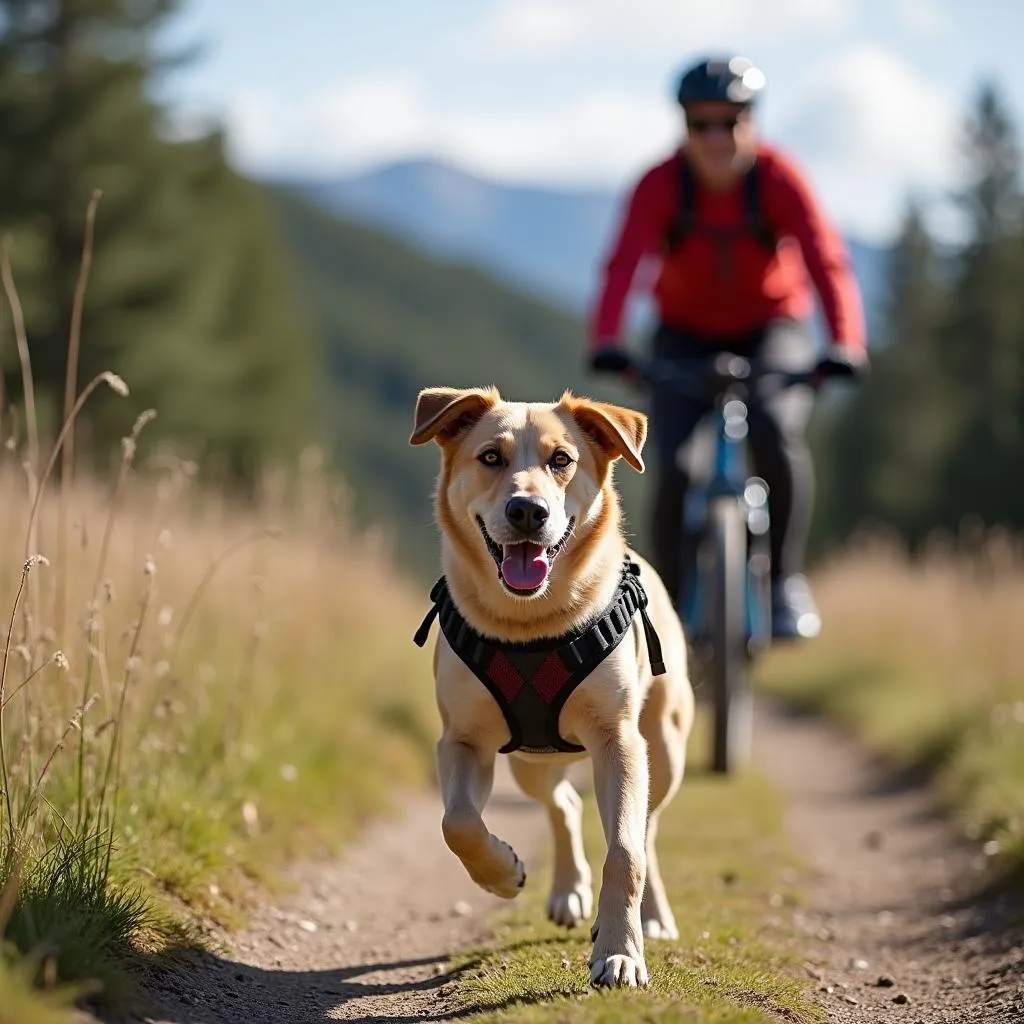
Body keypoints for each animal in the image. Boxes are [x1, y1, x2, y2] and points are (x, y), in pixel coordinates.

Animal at [409, 385, 696, 991]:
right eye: (490, 456)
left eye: (561, 459)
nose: (527, 510)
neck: (531, 625)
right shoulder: (462, 739)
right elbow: (457, 823)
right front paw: (503, 872)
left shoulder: (619, 741)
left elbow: (626, 852)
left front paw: (621, 953)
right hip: (528, 761)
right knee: (561, 801)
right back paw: (568, 892)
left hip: (664, 750)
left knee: (648, 829)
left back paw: (652, 916)